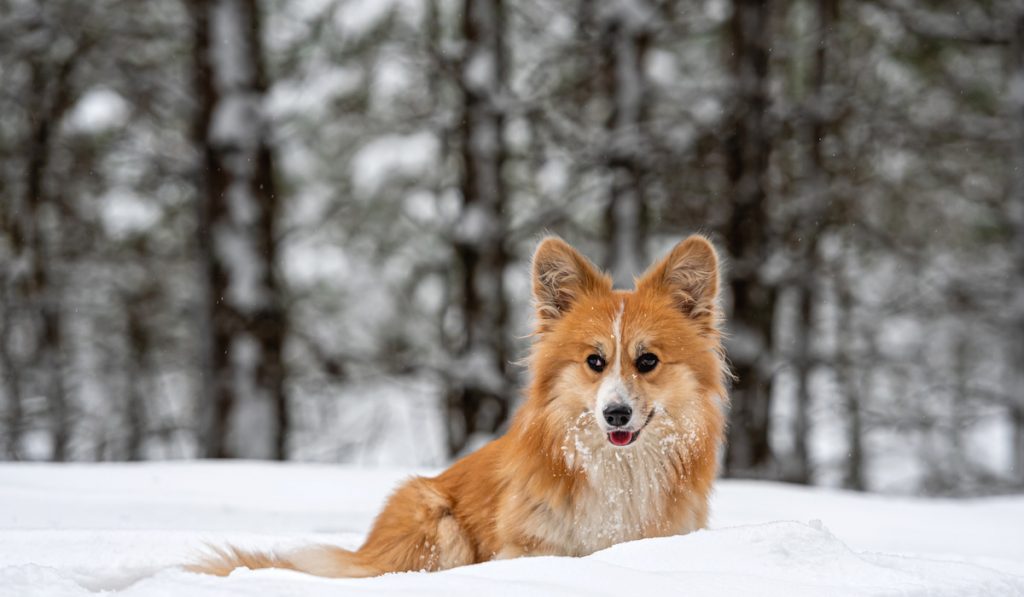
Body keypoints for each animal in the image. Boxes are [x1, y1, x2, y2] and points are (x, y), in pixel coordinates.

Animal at [186, 234, 729, 577]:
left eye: (648, 361)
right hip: (435, 520)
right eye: (595, 361)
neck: (621, 474)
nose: (615, 414)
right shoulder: (529, 547)